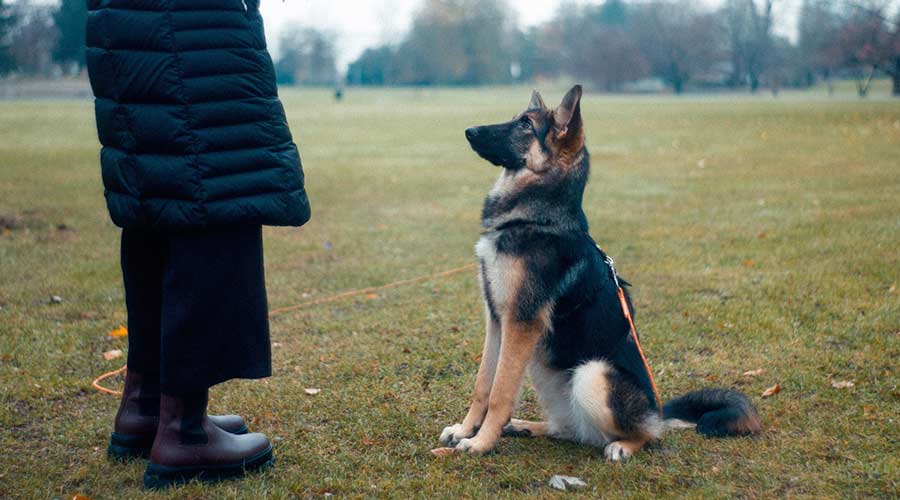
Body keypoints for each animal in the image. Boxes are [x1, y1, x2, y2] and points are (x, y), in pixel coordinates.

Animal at [440, 86, 764, 460]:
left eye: (525, 124)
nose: (469, 131)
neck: (536, 218)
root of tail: (657, 411)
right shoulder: (497, 320)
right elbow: (483, 385)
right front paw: (465, 430)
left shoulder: (521, 323)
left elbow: (500, 393)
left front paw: (480, 443)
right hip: (544, 368)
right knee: (570, 429)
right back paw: (525, 426)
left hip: (591, 373)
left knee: (645, 435)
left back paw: (623, 445)